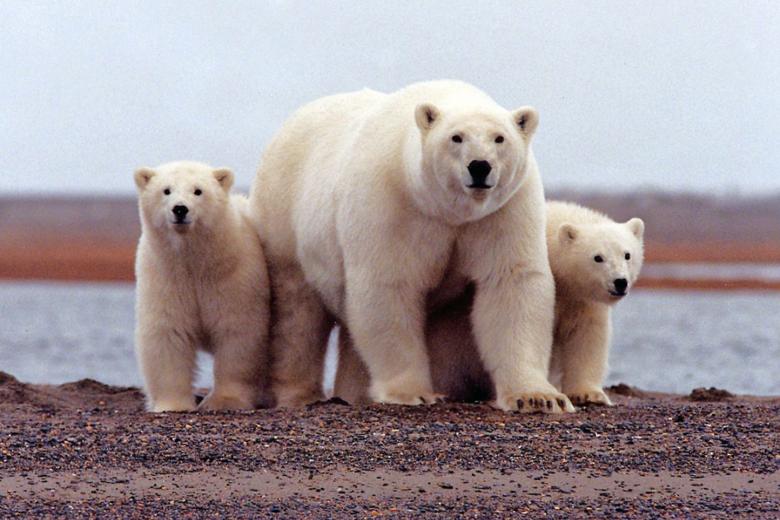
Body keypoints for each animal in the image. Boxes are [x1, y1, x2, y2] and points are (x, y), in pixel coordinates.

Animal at [134, 161, 271, 412]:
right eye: (166, 190)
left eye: (198, 191)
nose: (180, 209)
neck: (196, 262)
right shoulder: (165, 277)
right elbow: (168, 333)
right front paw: (173, 404)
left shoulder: (234, 277)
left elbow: (237, 333)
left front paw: (225, 401)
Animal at [249, 80, 573, 413]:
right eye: (456, 137)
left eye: (500, 138)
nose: (480, 166)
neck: (447, 210)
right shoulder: (392, 203)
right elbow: (389, 286)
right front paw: (412, 392)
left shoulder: (503, 211)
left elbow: (511, 282)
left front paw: (538, 397)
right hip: (285, 218)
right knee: (297, 313)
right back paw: (299, 394)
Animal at [334, 201, 645, 407]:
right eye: (597, 257)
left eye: (627, 254)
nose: (619, 282)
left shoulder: (580, 300)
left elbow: (586, 336)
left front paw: (588, 393)